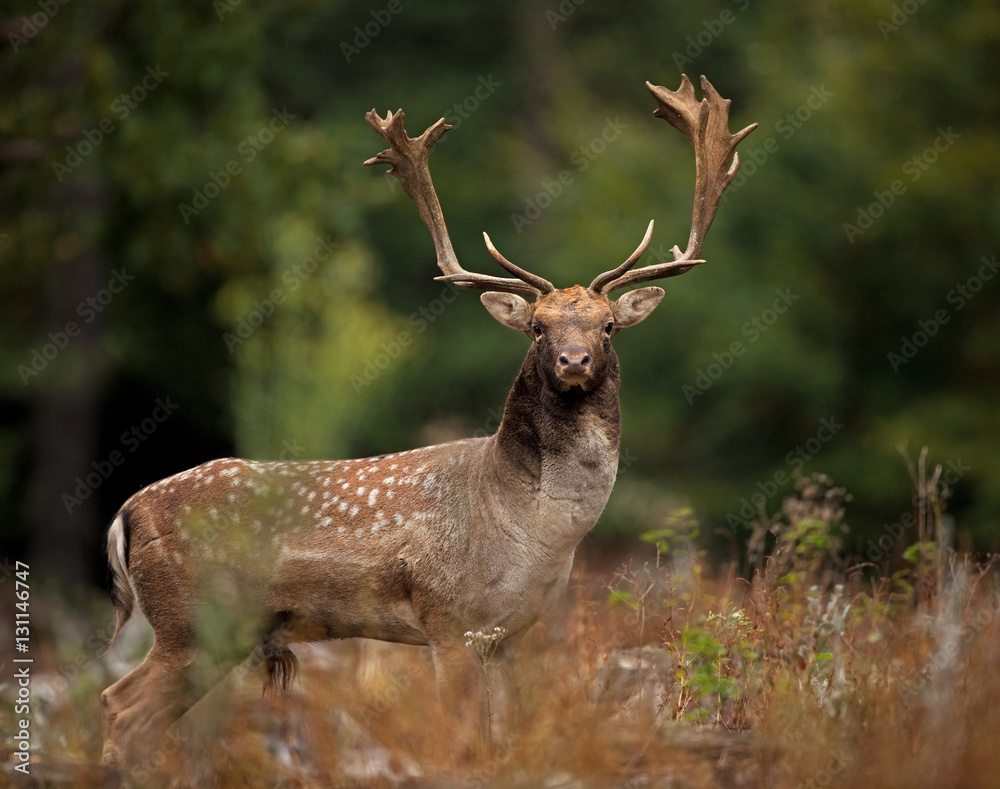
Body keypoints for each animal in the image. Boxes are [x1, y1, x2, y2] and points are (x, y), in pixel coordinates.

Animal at [99, 74, 755, 766]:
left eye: (607, 326)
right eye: (537, 326)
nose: (574, 361)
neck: (531, 530)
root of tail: (125, 513)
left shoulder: (511, 635)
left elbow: (504, 738)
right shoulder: (448, 619)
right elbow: (462, 740)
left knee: (130, 709)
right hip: (192, 619)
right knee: (120, 705)